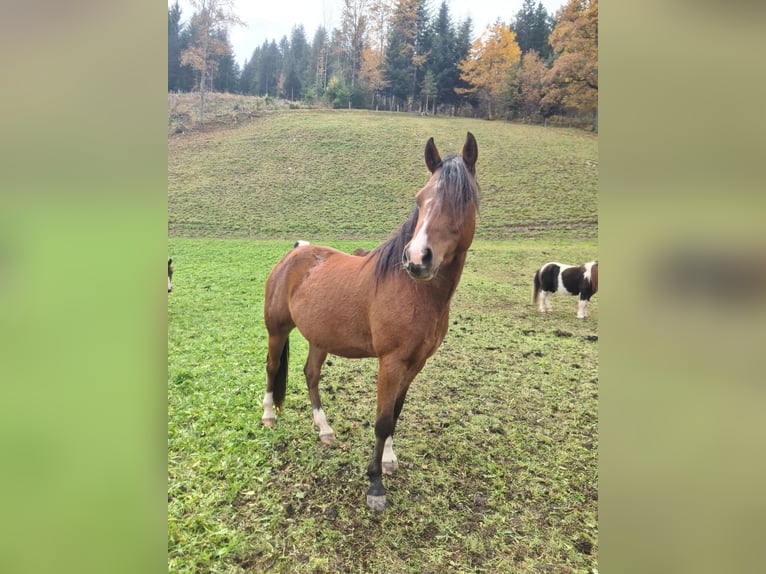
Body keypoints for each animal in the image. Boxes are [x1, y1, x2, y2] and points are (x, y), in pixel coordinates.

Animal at [261, 132, 479, 511]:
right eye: (420, 199)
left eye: (461, 201)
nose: (417, 258)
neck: (412, 290)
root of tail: (295, 252)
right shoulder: (390, 362)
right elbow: (381, 420)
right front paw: (375, 485)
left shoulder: (415, 363)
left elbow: (396, 413)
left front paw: (389, 461)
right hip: (277, 330)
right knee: (273, 367)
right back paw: (268, 416)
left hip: (320, 338)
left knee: (311, 375)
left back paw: (325, 430)